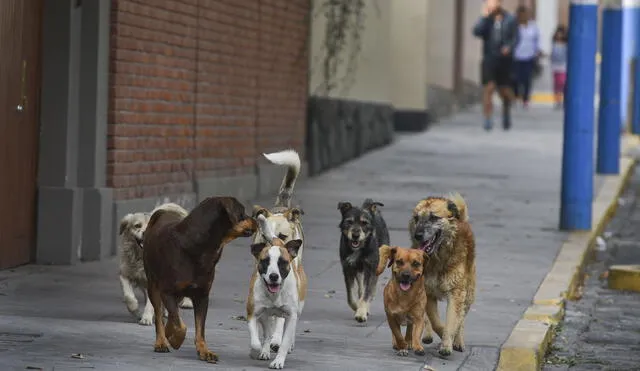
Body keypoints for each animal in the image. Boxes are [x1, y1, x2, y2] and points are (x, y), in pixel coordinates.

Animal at [143, 198, 258, 364]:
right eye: (242, 213)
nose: (256, 219)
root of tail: (162, 213)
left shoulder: (202, 296)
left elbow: (199, 327)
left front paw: (204, 351)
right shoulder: (167, 291)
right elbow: (178, 323)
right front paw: (175, 338)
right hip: (153, 284)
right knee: (159, 315)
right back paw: (161, 342)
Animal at [246, 214, 306, 370]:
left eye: (282, 262)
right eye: (265, 261)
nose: (273, 276)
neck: (274, 295)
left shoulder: (291, 316)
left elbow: (284, 342)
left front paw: (278, 361)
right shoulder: (253, 313)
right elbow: (256, 340)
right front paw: (258, 350)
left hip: (298, 309)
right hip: (264, 315)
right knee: (267, 331)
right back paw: (264, 350)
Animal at [251, 148, 306, 352]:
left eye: (282, 236)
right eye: (264, 236)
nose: (273, 245)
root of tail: (282, 206)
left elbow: (282, 319)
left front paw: (276, 340)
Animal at [410, 193, 476, 356]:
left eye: (434, 217)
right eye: (416, 218)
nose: (417, 235)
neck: (438, 257)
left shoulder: (456, 293)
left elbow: (453, 320)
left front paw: (447, 344)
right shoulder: (428, 292)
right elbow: (435, 321)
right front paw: (442, 336)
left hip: (469, 293)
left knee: (462, 318)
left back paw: (458, 341)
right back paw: (427, 335)